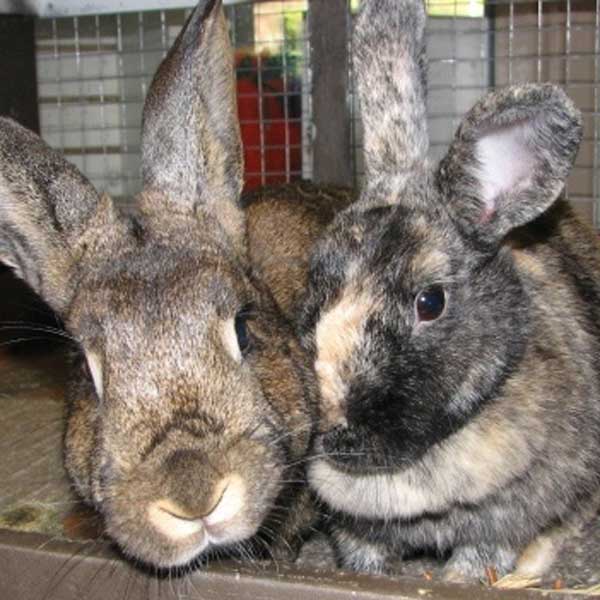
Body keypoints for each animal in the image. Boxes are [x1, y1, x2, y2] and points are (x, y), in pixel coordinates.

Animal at [298, 0, 600, 582]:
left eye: (430, 302)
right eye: (313, 285)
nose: (336, 430)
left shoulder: (504, 520)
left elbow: (483, 554)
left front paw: (461, 578)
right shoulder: (354, 527)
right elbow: (363, 552)